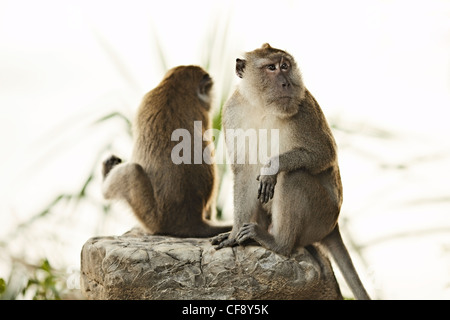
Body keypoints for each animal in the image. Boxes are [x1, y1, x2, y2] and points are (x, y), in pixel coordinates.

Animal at [213, 43, 370, 300]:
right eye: (271, 68)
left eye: (285, 66)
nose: (286, 82)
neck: (262, 107)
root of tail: (334, 225)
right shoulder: (232, 112)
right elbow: (244, 173)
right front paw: (233, 234)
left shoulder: (304, 108)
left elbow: (324, 154)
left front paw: (271, 167)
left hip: (321, 216)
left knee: (293, 176)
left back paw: (279, 243)